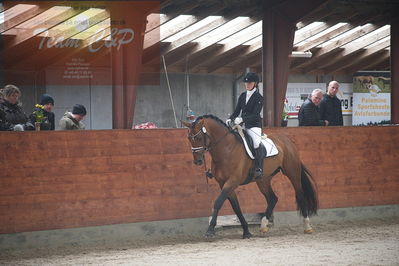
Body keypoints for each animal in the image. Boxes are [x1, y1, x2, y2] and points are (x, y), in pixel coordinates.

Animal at [184, 114, 318, 239]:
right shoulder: (224, 184)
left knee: (300, 195)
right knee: (272, 199)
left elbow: (218, 203)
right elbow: (236, 207)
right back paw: (263, 226)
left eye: (198, 137)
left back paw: (307, 227)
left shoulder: (232, 181)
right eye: (189, 138)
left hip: (292, 172)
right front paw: (246, 231)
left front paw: (210, 230)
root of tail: (287, 141)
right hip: (263, 180)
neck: (226, 149)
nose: (198, 161)